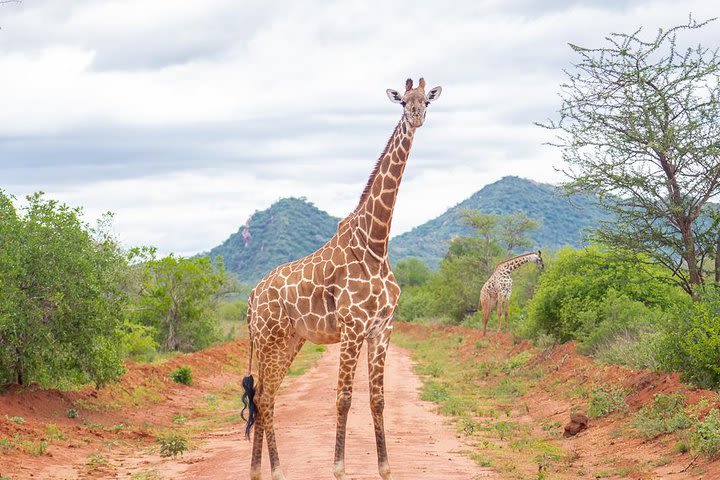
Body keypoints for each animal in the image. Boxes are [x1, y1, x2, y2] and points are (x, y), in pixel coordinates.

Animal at [242, 77, 442, 478]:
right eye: (404, 102)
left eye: (427, 100)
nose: (417, 116)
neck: (376, 243)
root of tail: (252, 297)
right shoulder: (352, 328)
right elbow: (344, 399)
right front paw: (339, 467)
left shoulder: (382, 328)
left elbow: (378, 400)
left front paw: (385, 468)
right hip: (270, 340)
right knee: (266, 398)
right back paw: (276, 470)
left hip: (291, 340)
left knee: (265, 396)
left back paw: (259, 471)